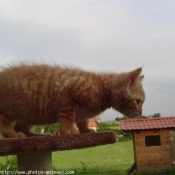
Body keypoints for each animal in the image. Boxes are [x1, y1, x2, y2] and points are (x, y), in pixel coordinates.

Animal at [0, 63, 145, 138]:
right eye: (138, 101)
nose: (140, 113)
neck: (102, 88)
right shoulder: (66, 101)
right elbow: (67, 118)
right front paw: (69, 130)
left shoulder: (83, 112)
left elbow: (82, 121)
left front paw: (85, 130)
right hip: (12, 109)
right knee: (4, 123)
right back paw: (13, 134)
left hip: (30, 115)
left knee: (21, 127)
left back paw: (37, 135)